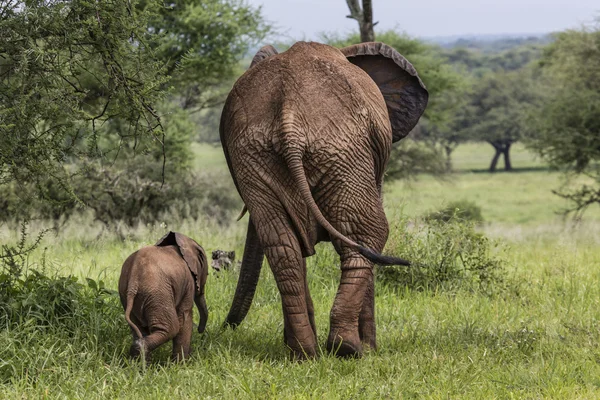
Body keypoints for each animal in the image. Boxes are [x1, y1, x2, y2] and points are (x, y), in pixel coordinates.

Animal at [118, 230, 210, 360]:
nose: (200, 331)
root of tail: (134, 278)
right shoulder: (188, 283)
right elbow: (184, 316)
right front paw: (182, 364)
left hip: (128, 294)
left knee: (139, 329)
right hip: (157, 292)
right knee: (171, 328)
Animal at [220, 41, 426, 360]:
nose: (223, 327)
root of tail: (289, 115)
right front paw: (370, 348)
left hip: (255, 154)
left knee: (283, 247)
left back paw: (304, 352)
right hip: (344, 150)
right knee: (367, 235)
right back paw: (347, 349)